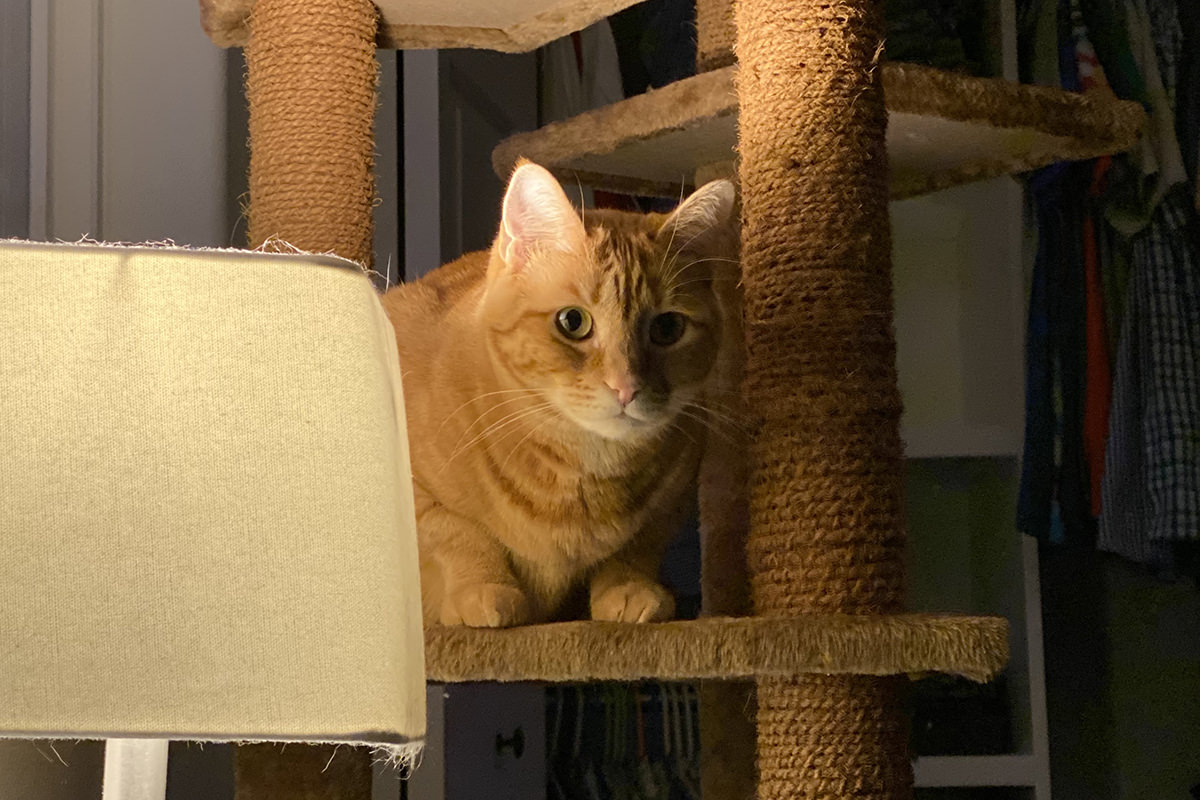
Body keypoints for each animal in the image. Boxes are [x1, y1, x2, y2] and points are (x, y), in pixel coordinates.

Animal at [384, 160, 739, 623]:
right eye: (573, 322)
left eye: (668, 328)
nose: (626, 387)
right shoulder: (412, 488)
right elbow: (457, 533)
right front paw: (481, 588)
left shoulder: (669, 504)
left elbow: (637, 547)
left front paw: (628, 588)